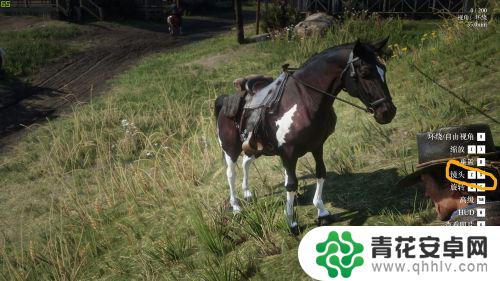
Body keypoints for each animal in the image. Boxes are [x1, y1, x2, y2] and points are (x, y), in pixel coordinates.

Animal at [213, 37, 396, 228]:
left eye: (384, 69)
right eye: (365, 72)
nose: (388, 112)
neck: (304, 100)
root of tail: (224, 101)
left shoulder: (317, 146)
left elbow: (320, 173)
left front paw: (322, 212)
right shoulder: (288, 153)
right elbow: (291, 184)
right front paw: (291, 221)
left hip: (256, 148)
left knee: (246, 163)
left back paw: (247, 193)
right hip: (231, 150)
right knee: (231, 174)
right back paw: (236, 207)